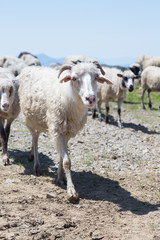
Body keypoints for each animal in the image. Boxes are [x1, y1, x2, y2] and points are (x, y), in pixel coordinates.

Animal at [17, 61, 112, 201]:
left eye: (96, 77)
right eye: (74, 78)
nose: (90, 98)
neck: (68, 96)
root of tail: (30, 67)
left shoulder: (66, 133)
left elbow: (62, 157)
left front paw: (61, 177)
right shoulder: (57, 130)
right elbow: (67, 161)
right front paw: (71, 191)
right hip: (30, 120)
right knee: (35, 141)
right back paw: (37, 167)